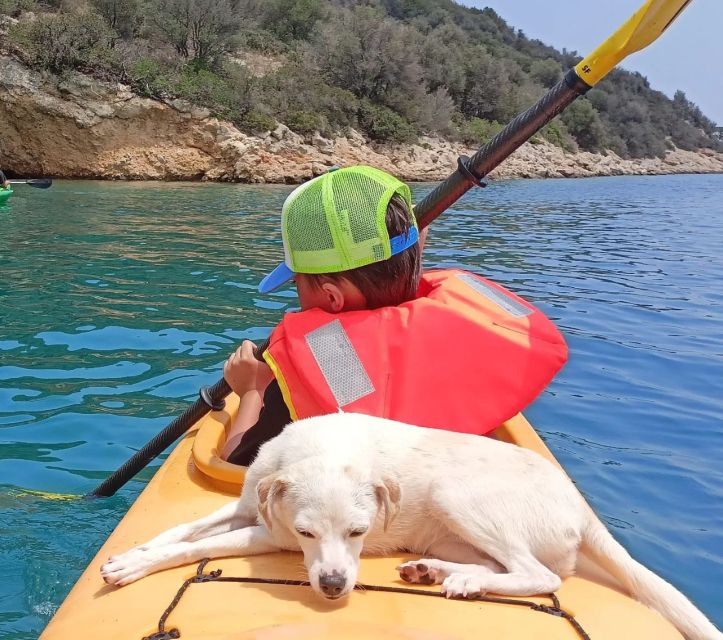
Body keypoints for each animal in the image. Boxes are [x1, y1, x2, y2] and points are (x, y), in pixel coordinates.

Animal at [103, 412, 723, 636]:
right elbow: (178, 533)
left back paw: (465, 582)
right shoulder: (250, 505)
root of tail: (581, 507)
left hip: (458, 494)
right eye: (308, 534)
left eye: (358, 533)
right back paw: (438, 571)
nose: (334, 587)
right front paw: (131, 554)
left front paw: (134, 567)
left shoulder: (263, 532)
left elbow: (185, 550)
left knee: (541, 575)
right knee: (502, 565)